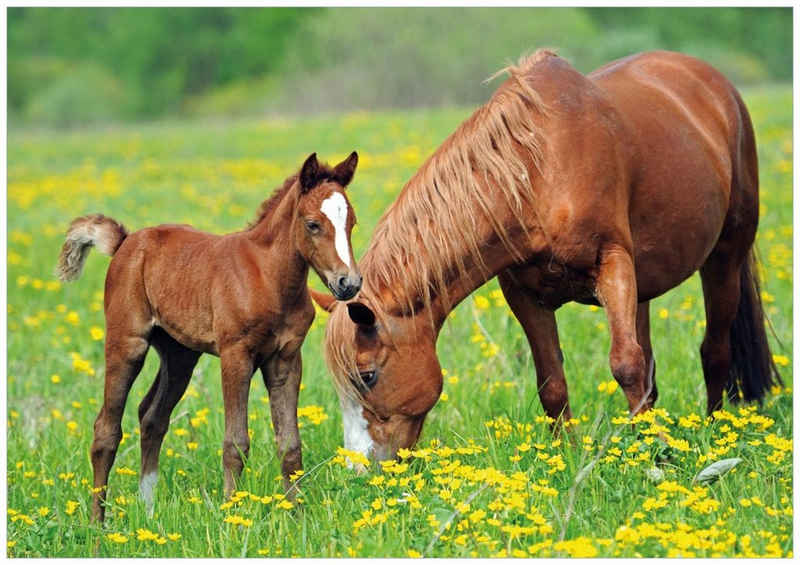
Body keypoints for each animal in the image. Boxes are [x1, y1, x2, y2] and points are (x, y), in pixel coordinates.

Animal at [53, 150, 360, 520]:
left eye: (351, 223)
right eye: (313, 224)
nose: (348, 283)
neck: (267, 276)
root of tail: (126, 241)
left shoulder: (286, 359)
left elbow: (289, 444)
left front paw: (297, 515)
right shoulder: (235, 355)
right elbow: (235, 442)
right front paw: (232, 514)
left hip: (179, 354)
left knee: (152, 417)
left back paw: (148, 513)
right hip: (127, 342)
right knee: (106, 430)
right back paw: (98, 524)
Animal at [316, 50, 780, 460]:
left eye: (367, 376)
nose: (360, 466)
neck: (539, 173)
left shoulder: (612, 264)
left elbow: (625, 364)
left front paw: (655, 455)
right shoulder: (524, 294)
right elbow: (552, 382)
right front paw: (567, 456)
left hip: (724, 258)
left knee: (714, 350)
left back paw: (715, 430)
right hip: (645, 284)